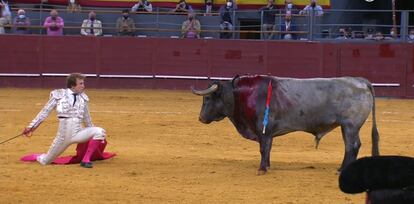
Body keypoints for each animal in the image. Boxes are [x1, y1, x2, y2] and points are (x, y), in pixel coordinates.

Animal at [192, 75, 380, 175]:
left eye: (207, 98)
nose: (200, 118)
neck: (244, 95)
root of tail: (360, 81)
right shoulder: (268, 132)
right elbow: (268, 148)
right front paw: (267, 165)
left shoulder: (263, 129)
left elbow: (263, 148)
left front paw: (262, 169)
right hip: (347, 127)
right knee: (354, 145)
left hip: (350, 126)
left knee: (351, 146)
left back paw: (342, 169)